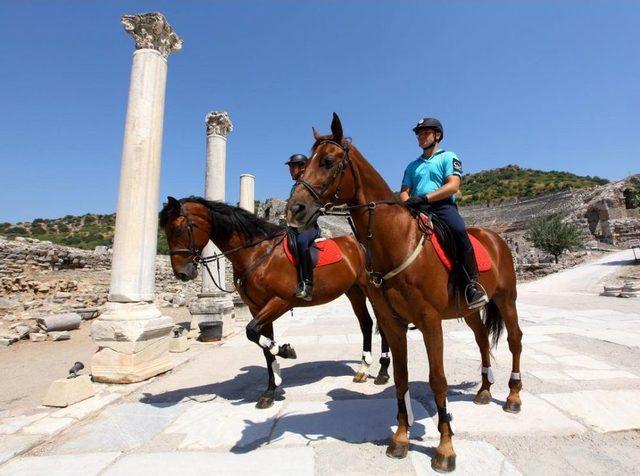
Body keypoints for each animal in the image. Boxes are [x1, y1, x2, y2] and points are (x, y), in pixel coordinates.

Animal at [160, 195, 390, 408]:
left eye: (179, 230)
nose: (181, 273)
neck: (257, 252)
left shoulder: (280, 301)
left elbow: (252, 332)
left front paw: (286, 351)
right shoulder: (257, 308)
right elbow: (262, 343)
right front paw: (271, 389)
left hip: (371, 289)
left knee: (382, 323)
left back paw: (382, 372)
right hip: (353, 291)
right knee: (366, 323)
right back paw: (363, 369)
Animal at [288, 114, 524, 472]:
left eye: (327, 161)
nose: (295, 208)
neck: (396, 240)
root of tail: (495, 238)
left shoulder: (429, 322)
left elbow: (438, 380)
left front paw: (445, 447)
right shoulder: (393, 322)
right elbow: (400, 378)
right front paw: (400, 437)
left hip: (506, 299)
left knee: (514, 340)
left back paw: (512, 396)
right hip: (469, 310)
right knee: (483, 339)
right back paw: (484, 390)